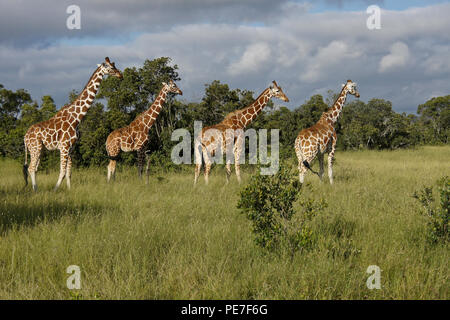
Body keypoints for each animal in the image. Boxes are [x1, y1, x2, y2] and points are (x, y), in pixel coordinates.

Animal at [23, 56, 122, 191]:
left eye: (114, 64)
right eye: (110, 67)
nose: (120, 75)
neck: (76, 118)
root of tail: (25, 137)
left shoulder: (71, 148)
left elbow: (69, 172)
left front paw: (69, 190)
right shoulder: (64, 147)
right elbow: (62, 171)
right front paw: (55, 190)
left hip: (39, 149)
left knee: (35, 168)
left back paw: (36, 189)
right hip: (35, 147)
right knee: (31, 168)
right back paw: (36, 190)